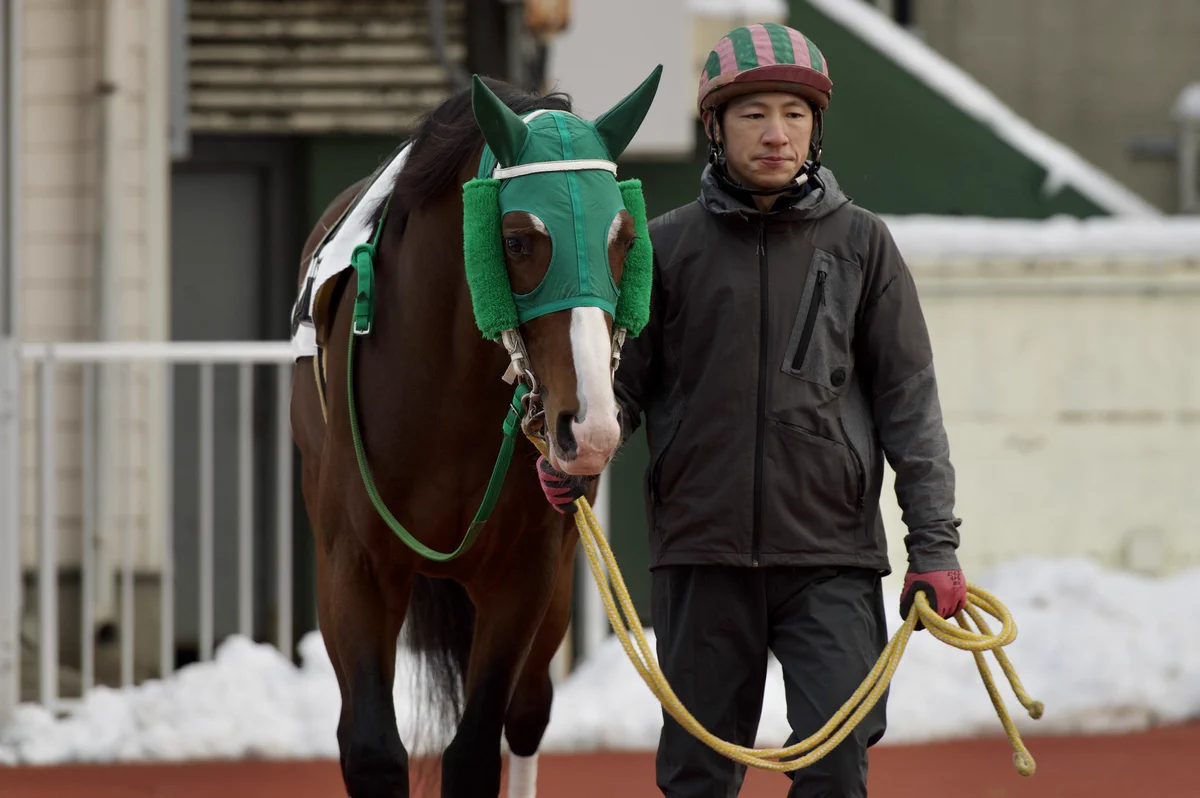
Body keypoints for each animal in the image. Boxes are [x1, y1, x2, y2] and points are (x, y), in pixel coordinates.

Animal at [289, 68, 662, 798]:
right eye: (516, 240)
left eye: (625, 239)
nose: (591, 428)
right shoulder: (354, 564)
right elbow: (372, 748)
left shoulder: (524, 572)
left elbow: (475, 750)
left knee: (528, 713)